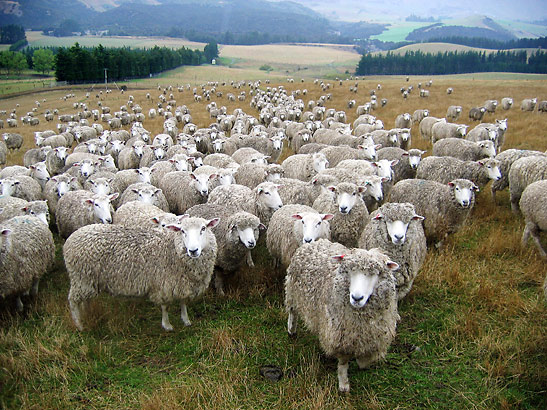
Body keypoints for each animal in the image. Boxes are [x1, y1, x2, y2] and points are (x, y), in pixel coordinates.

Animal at [67, 216, 222, 332]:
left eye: (203, 228)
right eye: (182, 231)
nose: (193, 250)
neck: (172, 249)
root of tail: (72, 237)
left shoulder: (181, 283)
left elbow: (183, 302)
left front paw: (186, 320)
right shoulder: (163, 285)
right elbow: (165, 307)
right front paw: (167, 325)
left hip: (88, 281)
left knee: (84, 300)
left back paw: (86, 313)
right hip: (81, 279)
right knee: (73, 301)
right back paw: (79, 325)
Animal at [286, 239, 398, 392]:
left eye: (375, 273)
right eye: (350, 271)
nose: (357, 298)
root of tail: (314, 243)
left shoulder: (375, 336)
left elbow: (366, 359)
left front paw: (361, 362)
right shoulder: (340, 336)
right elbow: (343, 363)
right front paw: (343, 384)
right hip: (292, 291)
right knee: (293, 311)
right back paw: (291, 329)